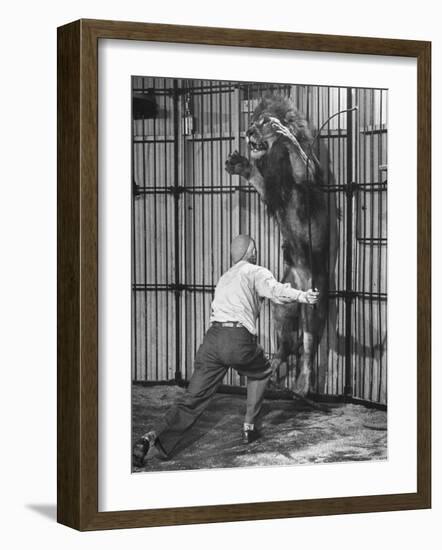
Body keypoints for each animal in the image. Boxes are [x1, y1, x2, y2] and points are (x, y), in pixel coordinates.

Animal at [224, 95, 334, 396]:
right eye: (251, 122)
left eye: (263, 122)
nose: (248, 132)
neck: (276, 157)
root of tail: (298, 278)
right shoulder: (271, 190)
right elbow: (258, 179)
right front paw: (241, 166)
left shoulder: (309, 177)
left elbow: (302, 161)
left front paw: (285, 133)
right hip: (282, 306)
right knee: (284, 347)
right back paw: (270, 374)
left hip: (312, 298)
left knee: (307, 347)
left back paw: (301, 386)